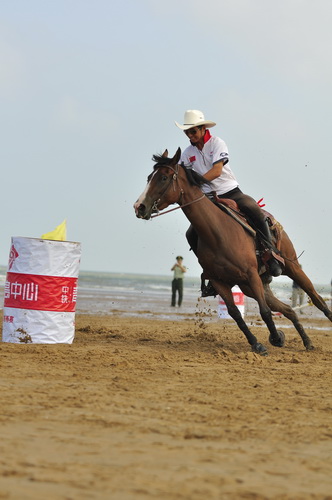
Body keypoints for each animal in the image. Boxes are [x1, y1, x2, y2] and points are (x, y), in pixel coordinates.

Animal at [134, 148, 332, 356]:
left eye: (163, 177)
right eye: (149, 177)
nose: (139, 206)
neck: (218, 232)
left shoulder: (251, 275)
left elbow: (264, 312)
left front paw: (276, 338)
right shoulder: (219, 281)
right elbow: (236, 314)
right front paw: (258, 344)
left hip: (292, 267)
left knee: (316, 299)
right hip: (252, 286)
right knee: (288, 309)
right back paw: (307, 342)